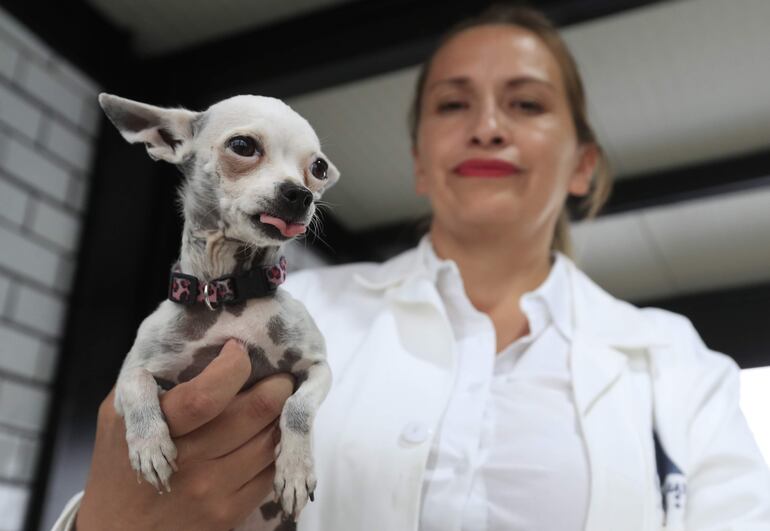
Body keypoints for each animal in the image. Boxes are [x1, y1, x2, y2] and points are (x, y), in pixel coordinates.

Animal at [98, 93, 336, 528]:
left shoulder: (317, 367)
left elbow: (298, 408)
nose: (300, 194)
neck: (229, 296)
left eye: (318, 168)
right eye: (243, 146)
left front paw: (295, 469)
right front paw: (149, 447)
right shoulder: (130, 376)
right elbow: (137, 385)